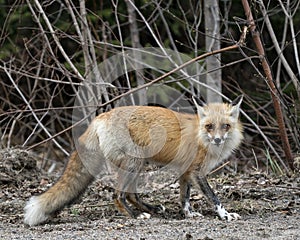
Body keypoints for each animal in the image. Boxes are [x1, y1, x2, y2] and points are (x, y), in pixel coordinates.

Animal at [23, 95, 244, 225]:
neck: (201, 138)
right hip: (133, 162)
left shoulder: (186, 171)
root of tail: (101, 117)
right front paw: (225, 215)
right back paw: (135, 216)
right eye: (209, 126)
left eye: (225, 126)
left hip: (138, 164)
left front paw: (188, 214)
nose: (217, 139)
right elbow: (214, 197)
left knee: (131, 195)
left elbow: (185, 198)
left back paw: (152, 209)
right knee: (118, 195)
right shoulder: (197, 172)